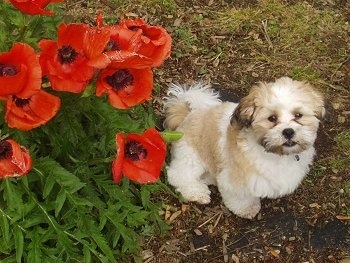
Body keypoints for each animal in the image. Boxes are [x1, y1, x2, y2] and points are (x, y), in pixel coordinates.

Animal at [164, 77, 326, 220]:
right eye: (272, 118)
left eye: (298, 115)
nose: (288, 131)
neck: (274, 154)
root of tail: (187, 115)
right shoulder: (235, 179)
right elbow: (241, 198)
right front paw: (248, 209)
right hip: (191, 155)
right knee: (178, 175)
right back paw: (198, 193)